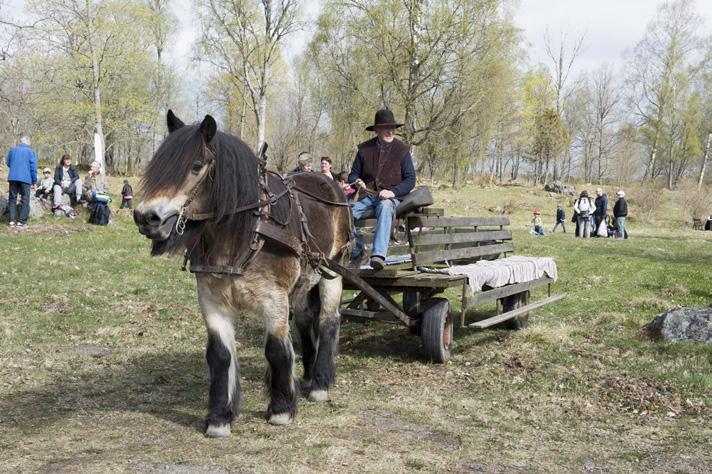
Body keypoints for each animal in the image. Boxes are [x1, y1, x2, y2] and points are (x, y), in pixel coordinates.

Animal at [133, 111, 350, 436]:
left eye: (196, 166)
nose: (146, 217)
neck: (246, 233)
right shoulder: (212, 301)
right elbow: (219, 355)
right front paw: (219, 417)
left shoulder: (274, 300)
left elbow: (276, 350)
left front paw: (281, 409)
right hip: (303, 283)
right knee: (305, 318)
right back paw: (309, 375)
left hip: (332, 271)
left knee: (327, 321)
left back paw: (320, 383)